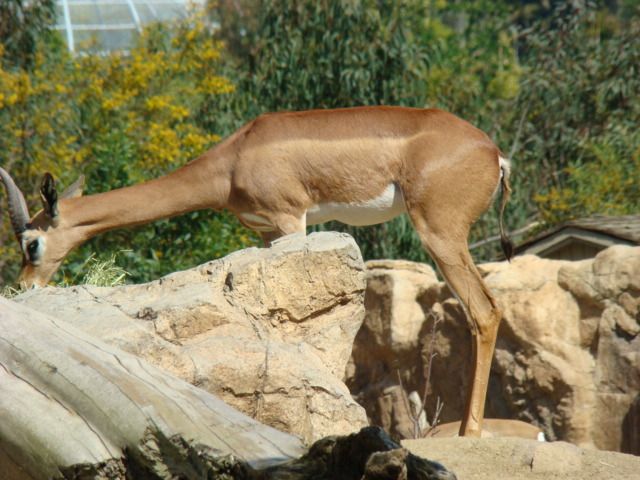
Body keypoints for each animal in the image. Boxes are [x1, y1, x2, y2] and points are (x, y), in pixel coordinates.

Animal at [1, 106, 512, 438]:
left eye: (32, 243)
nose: (23, 286)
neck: (233, 159)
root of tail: (493, 152)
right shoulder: (268, 234)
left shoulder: (291, 221)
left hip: (440, 233)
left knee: (485, 310)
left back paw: (469, 434)